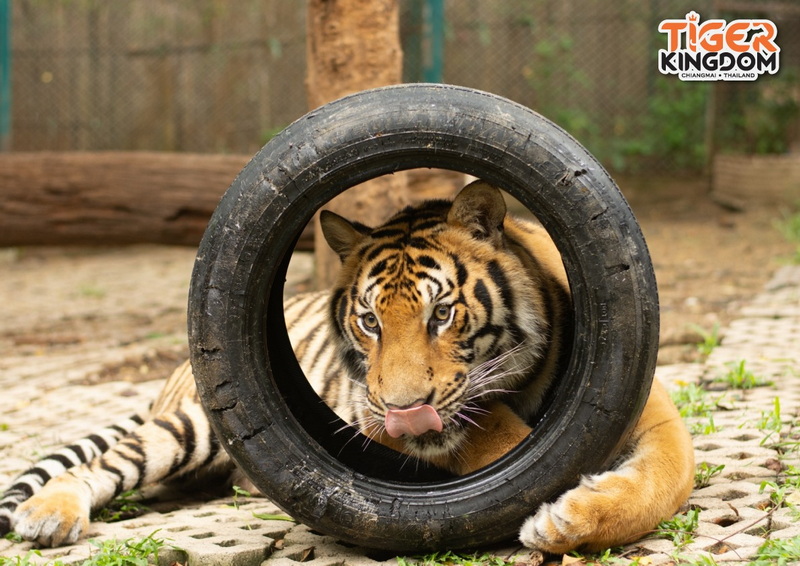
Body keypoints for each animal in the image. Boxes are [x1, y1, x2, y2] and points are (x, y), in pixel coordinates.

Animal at [0, 181, 695, 554]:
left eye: (442, 314)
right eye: (370, 322)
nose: (405, 412)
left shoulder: (650, 407)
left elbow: (669, 477)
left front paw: (570, 516)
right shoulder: (377, 415)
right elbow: (499, 441)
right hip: (190, 426)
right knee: (104, 463)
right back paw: (48, 514)